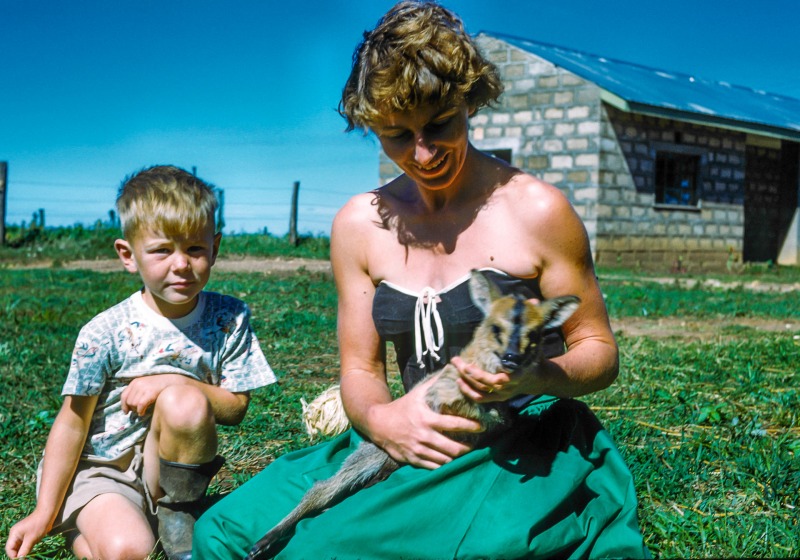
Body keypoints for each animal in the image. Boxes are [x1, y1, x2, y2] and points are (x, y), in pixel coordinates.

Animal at [247, 270, 580, 556]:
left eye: (535, 336)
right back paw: (266, 540)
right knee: (322, 488)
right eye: (494, 328)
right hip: (372, 452)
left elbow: (496, 419)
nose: (511, 358)